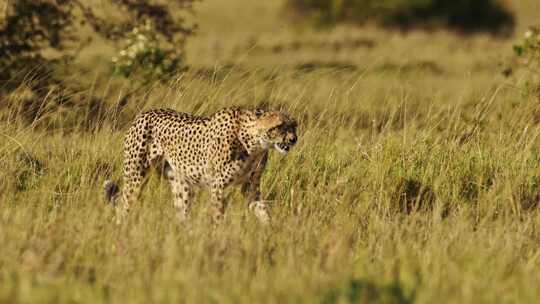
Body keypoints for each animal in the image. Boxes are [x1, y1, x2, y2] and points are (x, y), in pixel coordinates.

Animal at [103, 107, 298, 223]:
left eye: (294, 126)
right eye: (280, 126)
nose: (294, 139)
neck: (254, 143)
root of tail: (145, 112)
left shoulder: (250, 186)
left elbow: (263, 209)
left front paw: (270, 231)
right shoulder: (218, 186)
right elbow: (219, 216)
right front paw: (221, 239)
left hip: (181, 185)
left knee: (182, 215)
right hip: (136, 177)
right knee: (123, 205)